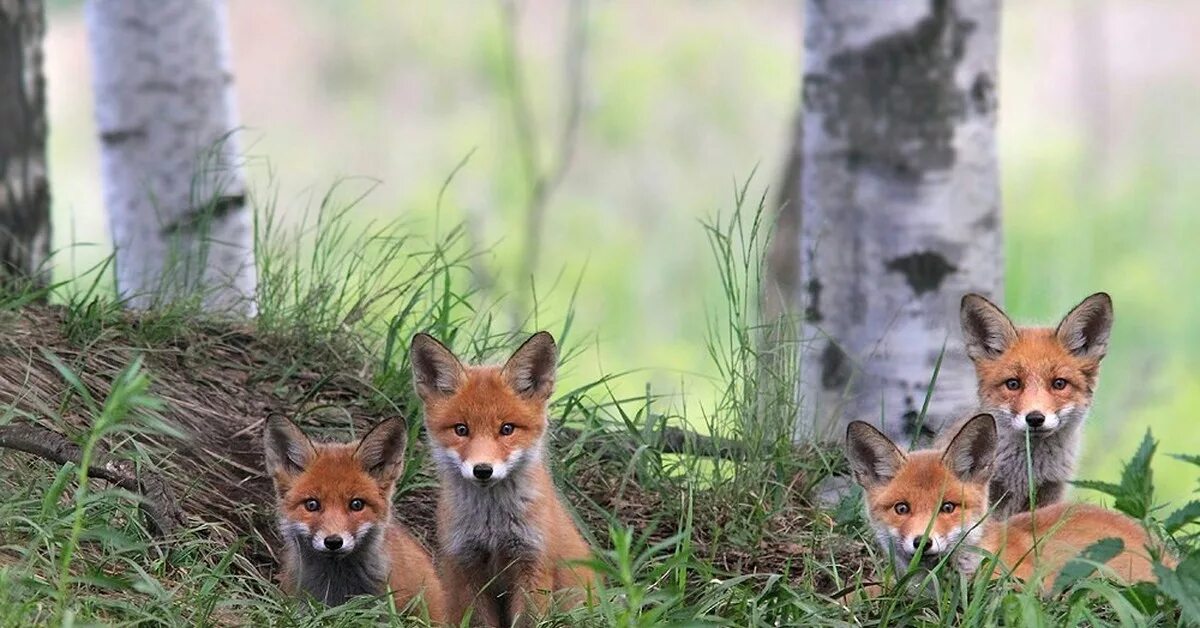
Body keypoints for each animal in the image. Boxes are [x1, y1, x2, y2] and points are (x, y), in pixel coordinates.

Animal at [412, 331, 595, 624]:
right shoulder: (467, 567)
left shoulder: (532, 562)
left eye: (507, 429)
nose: (482, 469)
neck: (493, 526)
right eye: (461, 429)